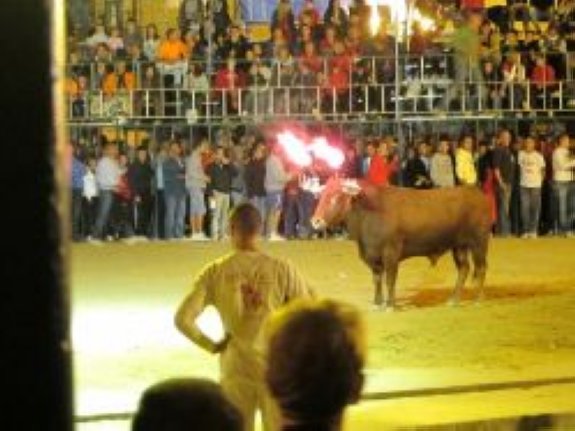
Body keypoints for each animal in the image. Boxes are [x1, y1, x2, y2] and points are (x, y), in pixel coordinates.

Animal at [312, 179, 492, 310]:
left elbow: (390, 279)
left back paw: (478, 300)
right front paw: (377, 302)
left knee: (481, 268)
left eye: (336, 197)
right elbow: (377, 279)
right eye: (321, 197)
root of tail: (477, 194)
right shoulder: (373, 257)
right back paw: (453, 300)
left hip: (479, 243)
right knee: (464, 269)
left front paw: (390, 305)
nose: (315, 221)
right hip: (459, 246)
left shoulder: (391, 253)